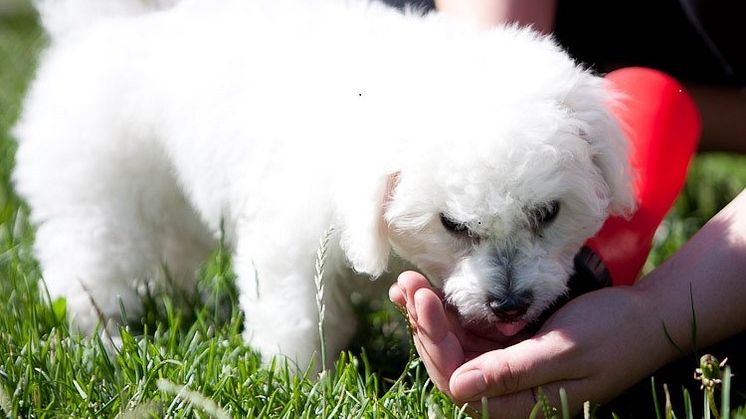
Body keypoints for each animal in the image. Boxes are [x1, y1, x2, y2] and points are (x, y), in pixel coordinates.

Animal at [11, 0, 632, 370]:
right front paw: (300, 380)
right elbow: (295, 318)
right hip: (96, 194)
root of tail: (104, 27)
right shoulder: (290, 241)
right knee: (89, 265)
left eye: (548, 213)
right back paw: (101, 341)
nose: (508, 305)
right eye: (453, 225)